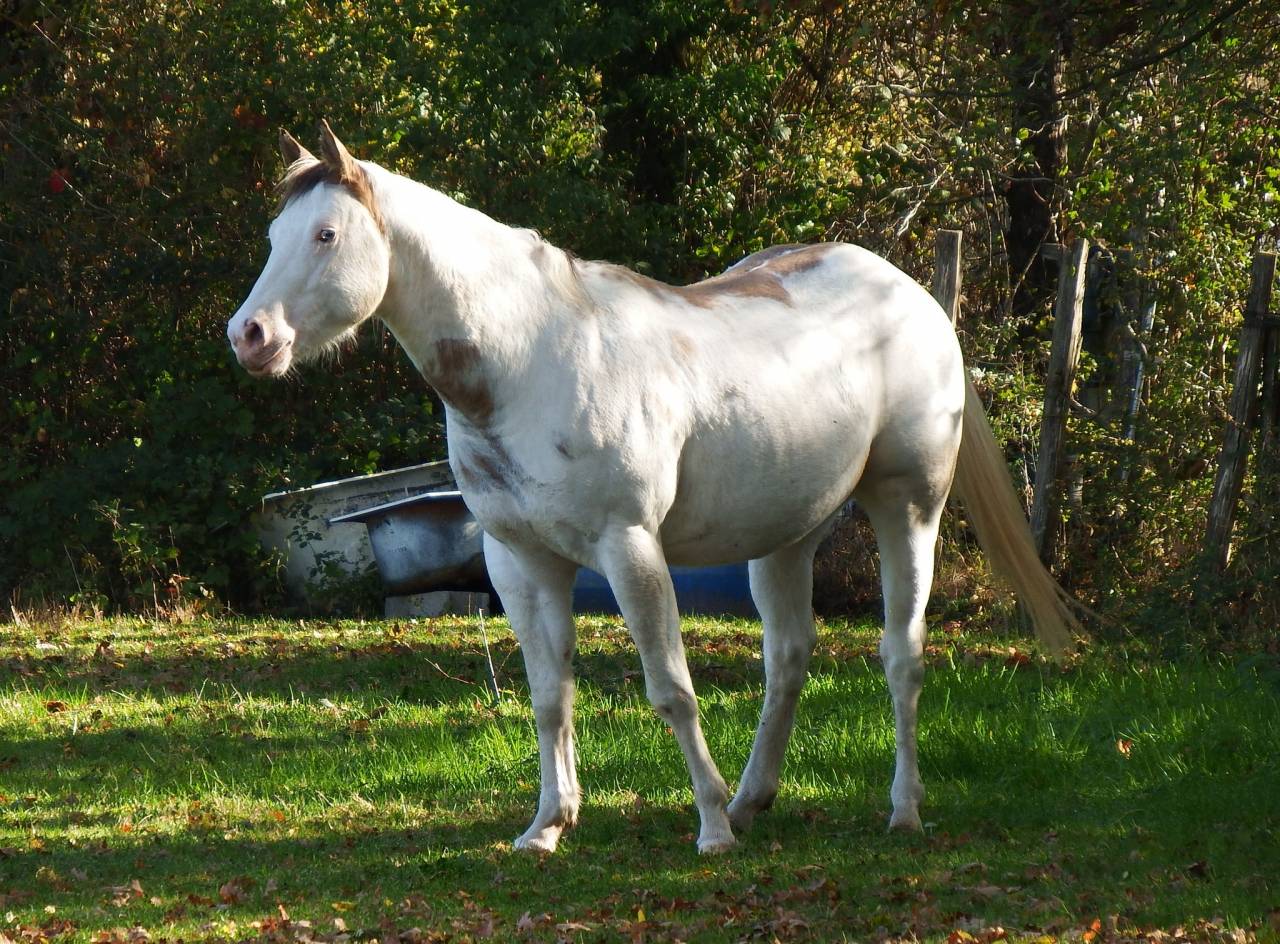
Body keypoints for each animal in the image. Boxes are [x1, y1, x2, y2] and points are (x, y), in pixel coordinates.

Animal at [227, 121, 1079, 855]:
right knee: (788, 657)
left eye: (326, 235)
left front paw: (710, 829)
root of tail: (912, 296)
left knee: (902, 654)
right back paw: (755, 798)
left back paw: (900, 811)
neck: (528, 357)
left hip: (907, 507)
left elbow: (670, 688)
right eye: (272, 238)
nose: (250, 336)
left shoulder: (629, 548)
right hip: (785, 534)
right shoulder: (520, 561)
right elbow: (549, 694)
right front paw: (547, 826)